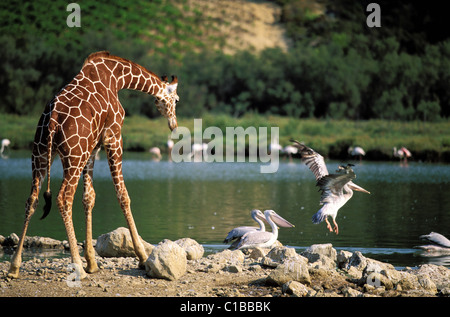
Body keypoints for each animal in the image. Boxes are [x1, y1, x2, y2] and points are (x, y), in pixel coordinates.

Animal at [7, 50, 178, 278]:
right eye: (176, 99)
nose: (174, 124)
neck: (117, 78)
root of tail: (52, 121)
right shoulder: (114, 136)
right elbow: (123, 195)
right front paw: (142, 258)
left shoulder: (93, 148)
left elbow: (88, 197)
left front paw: (92, 262)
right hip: (73, 156)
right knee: (63, 198)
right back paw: (77, 266)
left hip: (41, 154)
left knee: (32, 199)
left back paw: (14, 267)